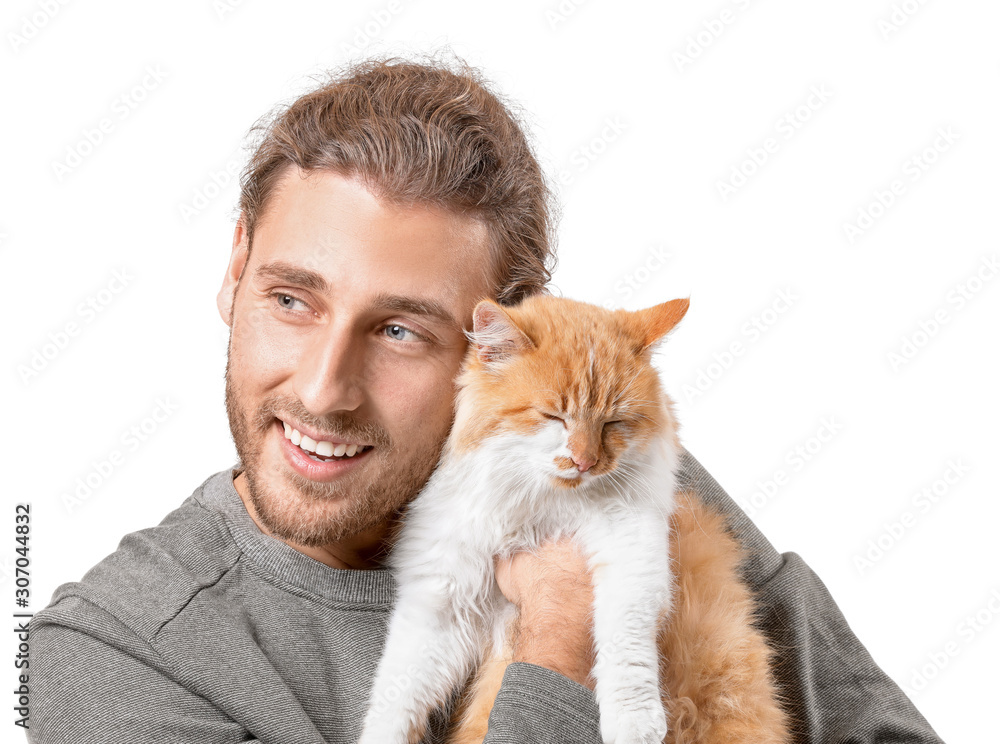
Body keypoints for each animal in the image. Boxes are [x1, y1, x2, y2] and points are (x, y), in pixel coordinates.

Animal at [360, 296, 788, 744]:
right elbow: (396, 696)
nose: (585, 462)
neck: (539, 509)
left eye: (613, 422)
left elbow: (625, 645)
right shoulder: (443, 600)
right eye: (554, 417)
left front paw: (634, 724)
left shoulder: (632, 549)